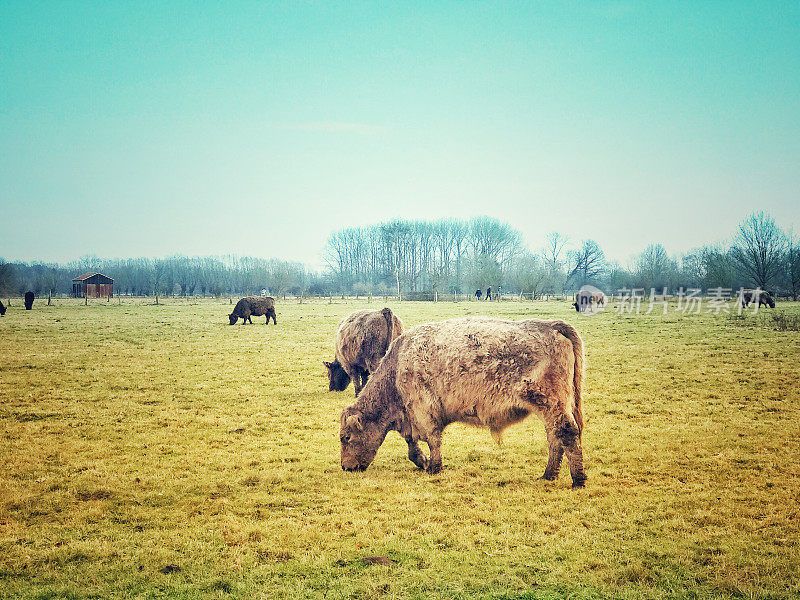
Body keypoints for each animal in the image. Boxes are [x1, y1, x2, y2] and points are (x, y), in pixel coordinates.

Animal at [340, 316, 588, 490]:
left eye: (346, 437)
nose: (345, 467)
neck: (398, 364)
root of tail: (552, 326)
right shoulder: (411, 418)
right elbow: (412, 446)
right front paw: (423, 462)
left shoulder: (424, 412)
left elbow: (433, 440)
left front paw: (434, 467)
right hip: (550, 409)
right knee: (555, 437)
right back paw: (548, 475)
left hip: (552, 403)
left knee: (567, 431)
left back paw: (578, 480)